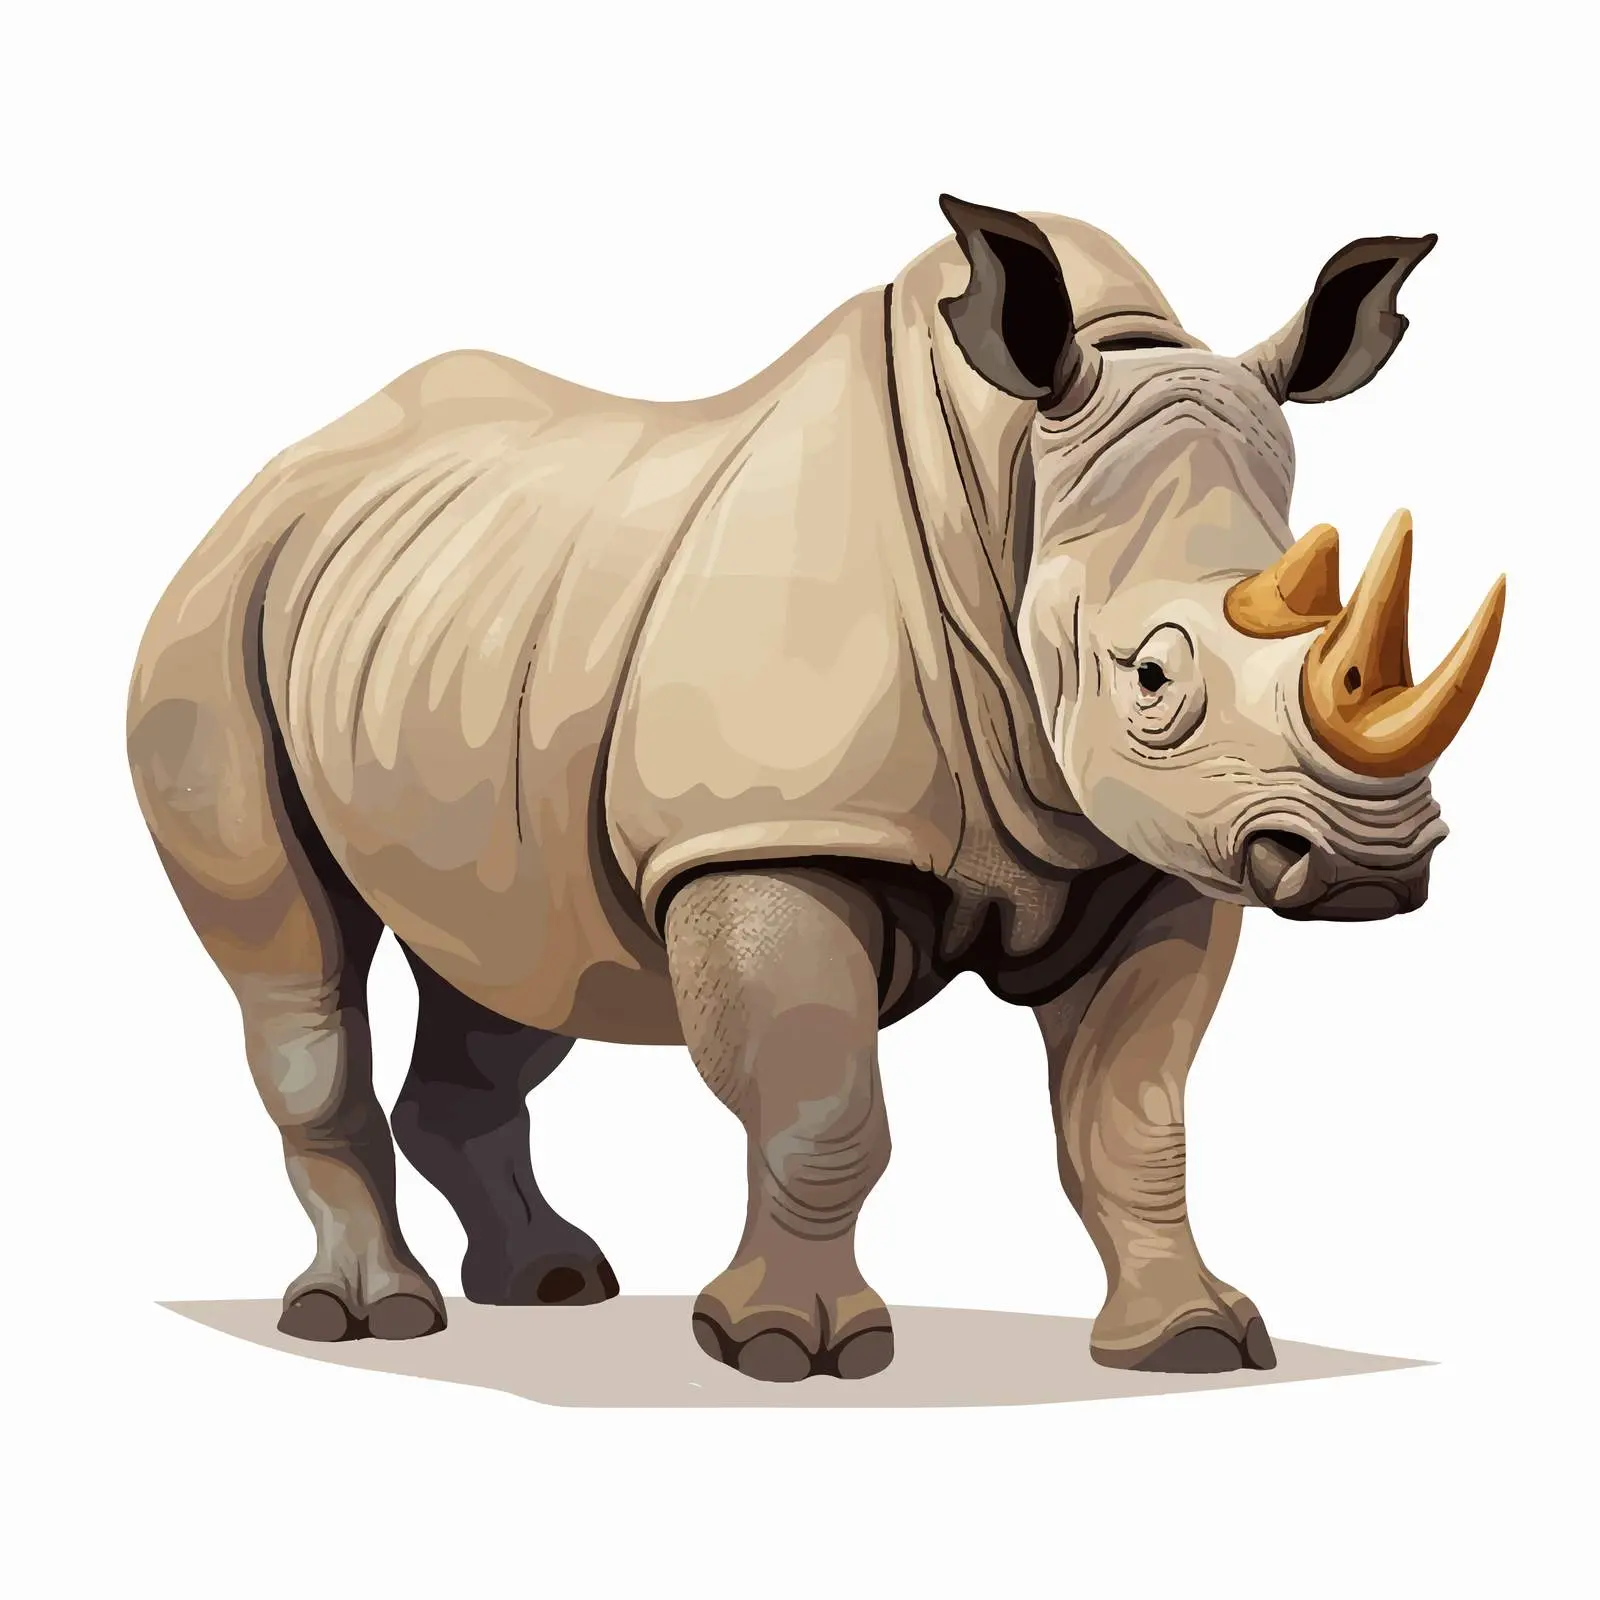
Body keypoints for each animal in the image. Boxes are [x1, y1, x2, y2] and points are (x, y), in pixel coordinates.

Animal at [128, 195, 1503, 1382]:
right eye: (1152, 676)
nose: (1369, 862)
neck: (1018, 485)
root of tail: (279, 474)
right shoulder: (768, 831)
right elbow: (822, 1104)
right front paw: (787, 1350)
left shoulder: (1150, 851)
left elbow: (1129, 1114)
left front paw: (1192, 1341)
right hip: (214, 623)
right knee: (298, 970)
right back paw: (373, 1318)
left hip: (470, 644)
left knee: (514, 956)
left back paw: (554, 1285)